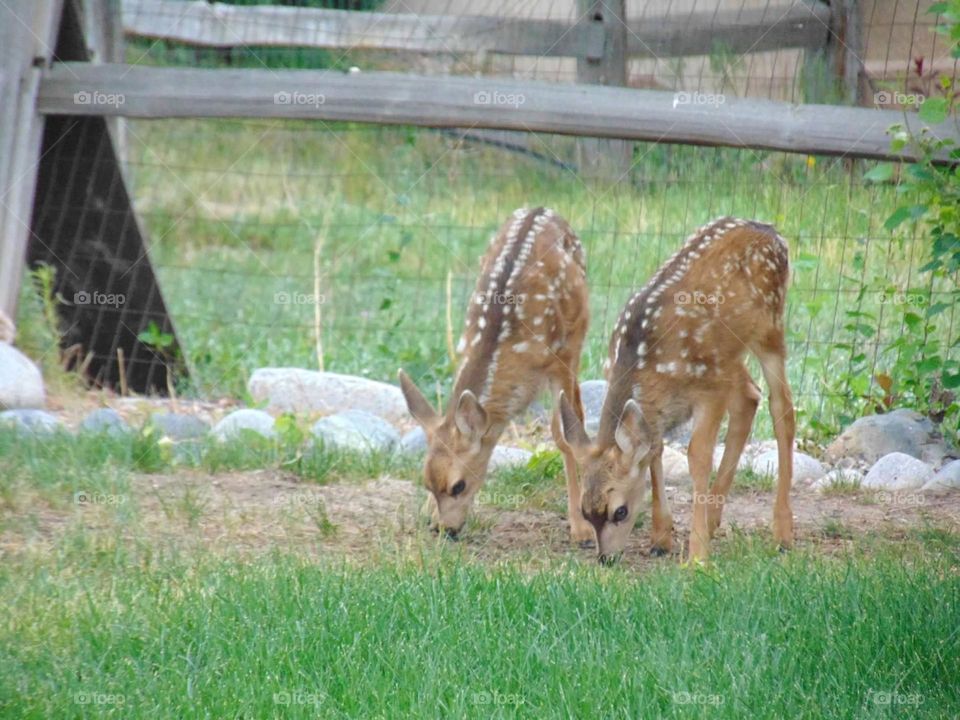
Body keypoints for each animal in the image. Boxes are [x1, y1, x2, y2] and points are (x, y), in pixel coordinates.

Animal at [396, 205, 592, 544]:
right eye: (427, 483)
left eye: (458, 485)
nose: (445, 529)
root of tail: (542, 208)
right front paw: (426, 513)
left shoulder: (560, 359)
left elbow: (565, 435)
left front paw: (581, 528)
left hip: (577, 333)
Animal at [560, 217, 792, 564]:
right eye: (585, 512)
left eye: (620, 511)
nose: (606, 558)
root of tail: (769, 230)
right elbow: (654, 448)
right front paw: (660, 538)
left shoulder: (710, 389)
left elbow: (698, 454)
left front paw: (697, 556)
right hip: (730, 355)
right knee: (750, 396)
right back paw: (714, 520)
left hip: (769, 328)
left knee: (783, 408)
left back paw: (782, 533)